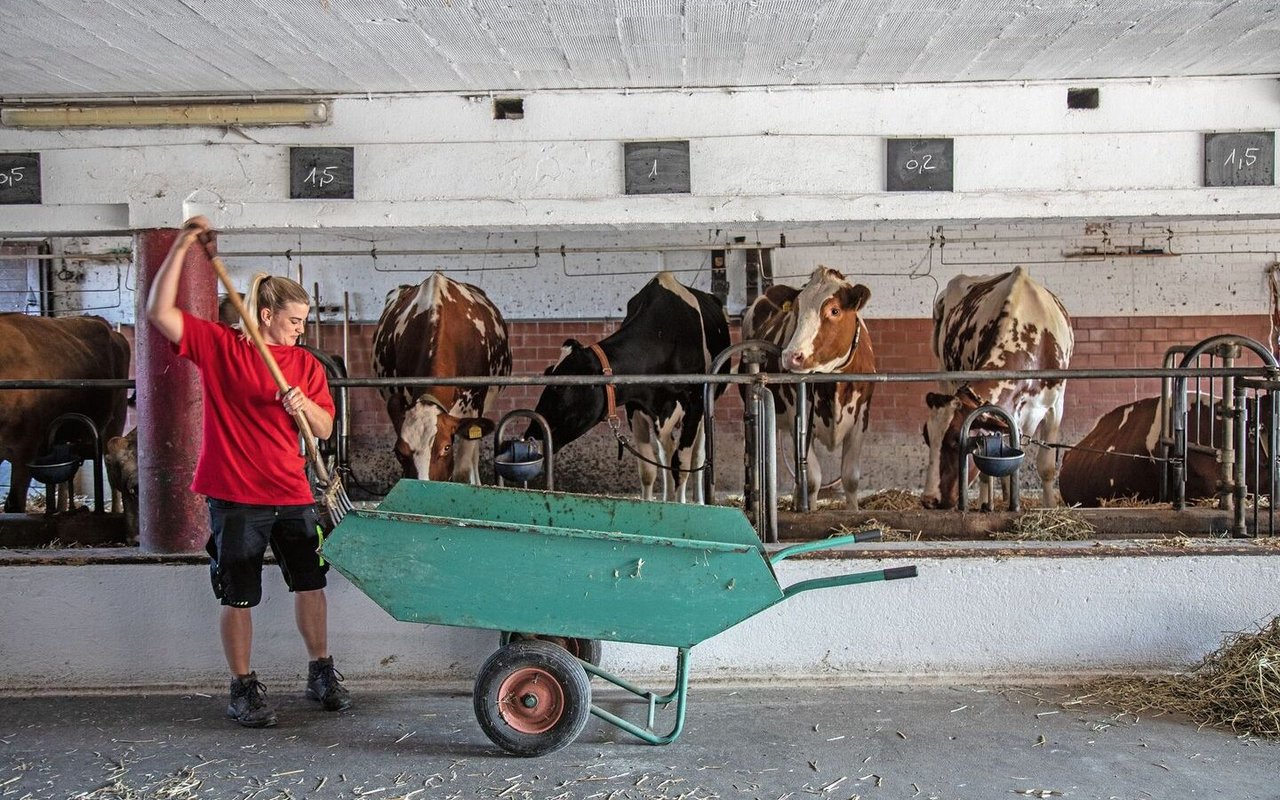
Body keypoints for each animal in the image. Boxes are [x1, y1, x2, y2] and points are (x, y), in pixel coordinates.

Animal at [529, 271, 732, 501]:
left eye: (560, 387)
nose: (532, 431)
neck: (662, 336)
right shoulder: (635, 406)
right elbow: (648, 470)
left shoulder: (695, 404)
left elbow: (681, 465)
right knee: (666, 452)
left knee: (697, 455)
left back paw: (699, 500)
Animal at [742, 264, 880, 509]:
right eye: (796, 310)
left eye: (834, 310)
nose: (791, 356)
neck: (835, 384)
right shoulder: (800, 420)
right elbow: (813, 479)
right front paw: (810, 510)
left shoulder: (861, 420)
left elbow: (850, 478)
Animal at [921, 264, 1070, 509]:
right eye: (926, 437)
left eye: (956, 441)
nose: (929, 499)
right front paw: (990, 505)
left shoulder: (1055, 405)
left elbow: (1046, 466)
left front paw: (1049, 507)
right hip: (944, 375)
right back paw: (987, 502)